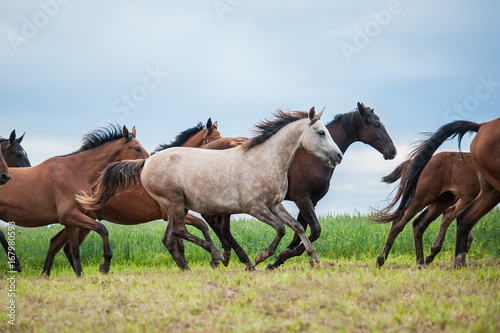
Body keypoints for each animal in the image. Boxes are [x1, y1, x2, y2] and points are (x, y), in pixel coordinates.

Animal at [0, 124, 148, 274]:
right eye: (137, 148)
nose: (148, 164)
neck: (76, 172)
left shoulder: (70, 219)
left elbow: (74, 249)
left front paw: (79, 275)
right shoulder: (69, 215)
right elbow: (102, 229)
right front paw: (105, 264)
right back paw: (16, 264)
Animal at [42, 118, 222, 274]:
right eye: (214, 139)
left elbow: (185, 238)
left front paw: (195, 263)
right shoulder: (170, 213)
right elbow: (196, 228)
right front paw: (211, 259)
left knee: (56, 243)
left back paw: (50, 274)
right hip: (81, 220)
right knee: (64, 246)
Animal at [78, 107, 344, 268]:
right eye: (321, 132)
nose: (339, 156)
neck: (266, 159)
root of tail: (145, 162)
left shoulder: (275, 204)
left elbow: (297, 227)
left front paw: (313, 259)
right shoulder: (255, 207)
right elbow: (280, 229)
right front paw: (260, 258)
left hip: (173, 208)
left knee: (171, 236)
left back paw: (191, 265)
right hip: (176, 203)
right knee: (181, 232)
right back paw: (215, 255)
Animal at [201, 102, 396, 270]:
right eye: (377, 124)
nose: (392, 151)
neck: (313, 158)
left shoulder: (311, 201)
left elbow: (300, 231)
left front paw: (279, 259)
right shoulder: (302, 198)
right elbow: (315, 230)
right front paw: (283, 256)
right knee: (222, 228)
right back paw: (236, 259)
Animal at [376, 116, 500, 268]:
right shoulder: (467, 197)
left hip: (443, 199)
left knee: (421, 223)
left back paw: (422, 262)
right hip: (423, 197)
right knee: (399, 222)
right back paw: (381, 260)